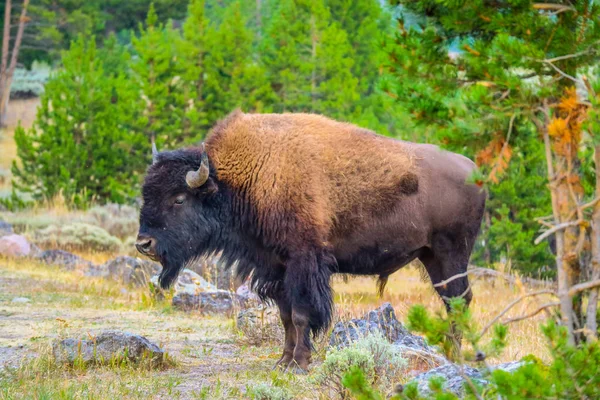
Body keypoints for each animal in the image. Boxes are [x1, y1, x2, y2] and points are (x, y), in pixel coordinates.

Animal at [136, 110, 488, 372]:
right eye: (146, 193)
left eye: (179, 198)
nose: (144, 244)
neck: (241, 179)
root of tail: (473, 170)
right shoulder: (276, 267)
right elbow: (286, 316)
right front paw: (283, 361)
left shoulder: (303, 263)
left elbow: (302, 313)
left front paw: (300, 363)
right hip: (431, 256)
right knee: (452, 300)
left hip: (451, 253)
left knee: (460, 299)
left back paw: (457, 358)